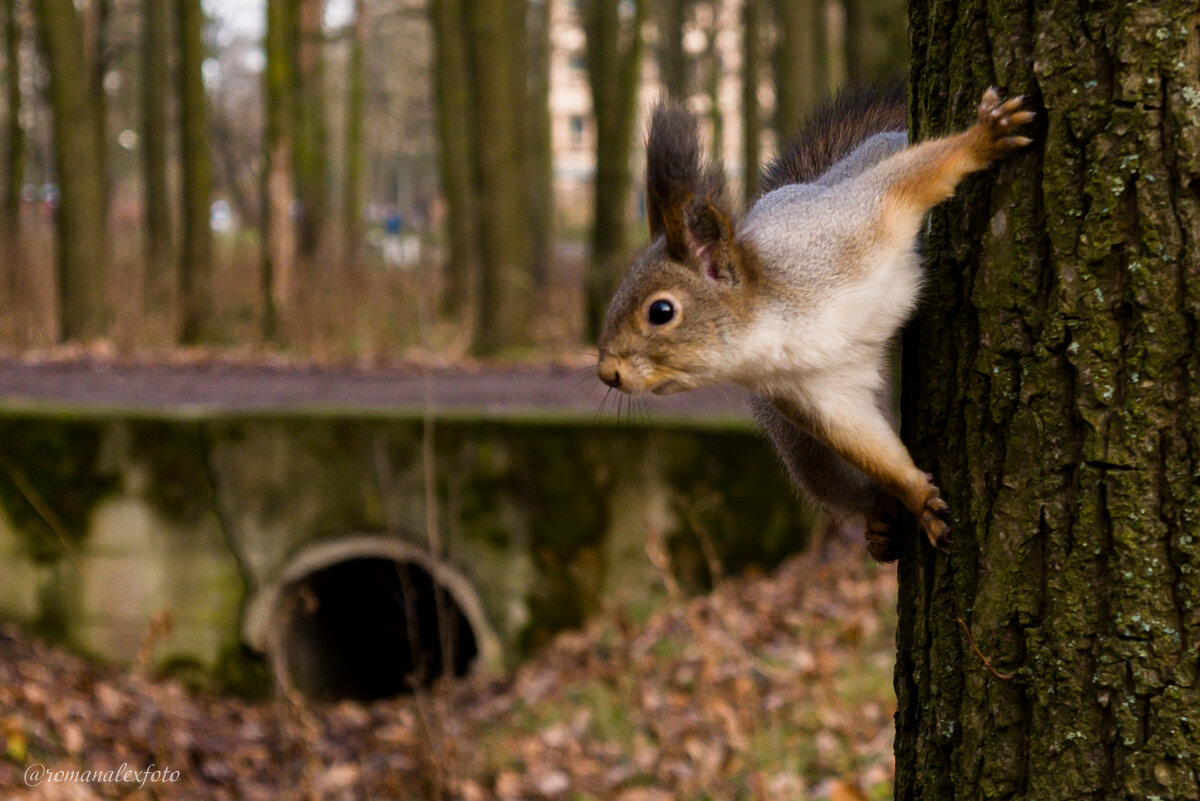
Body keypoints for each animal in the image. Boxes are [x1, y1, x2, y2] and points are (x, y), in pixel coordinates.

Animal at [595, 84, 1036, 561]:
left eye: (661, 312)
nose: (606, 373)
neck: (776, 325)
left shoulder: (853, 224)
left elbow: (912, 178)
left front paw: (984, 138)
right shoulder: (812, 392)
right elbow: (867, 444)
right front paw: (917, 497)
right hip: (805, 452)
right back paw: (880, 520)